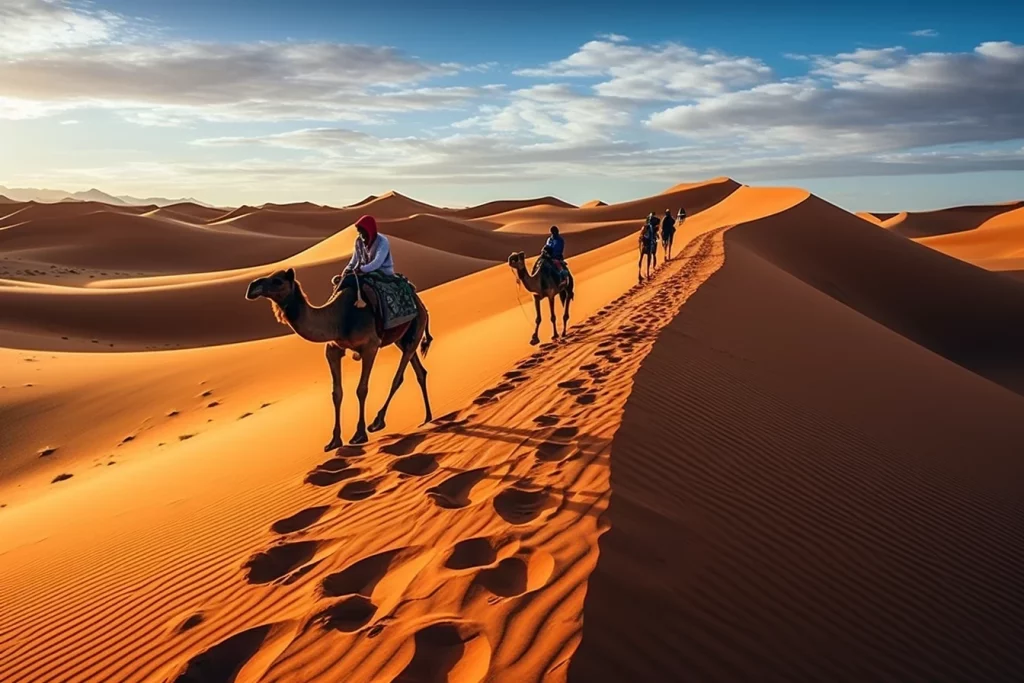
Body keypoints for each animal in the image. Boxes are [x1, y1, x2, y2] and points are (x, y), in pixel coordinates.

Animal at [245, 270, 434, 450]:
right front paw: (334, 441)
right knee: (420, 371)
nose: (252, 287)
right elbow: (337, 393)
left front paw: (359, 434)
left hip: (416, 329)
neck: (340, 318)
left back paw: (378, 422)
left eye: (277, 281)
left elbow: (361, 389)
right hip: (402, 338)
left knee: (398, 377)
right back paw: (428, 417)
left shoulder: (370, 346)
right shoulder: (333, 349)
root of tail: (420, 303)